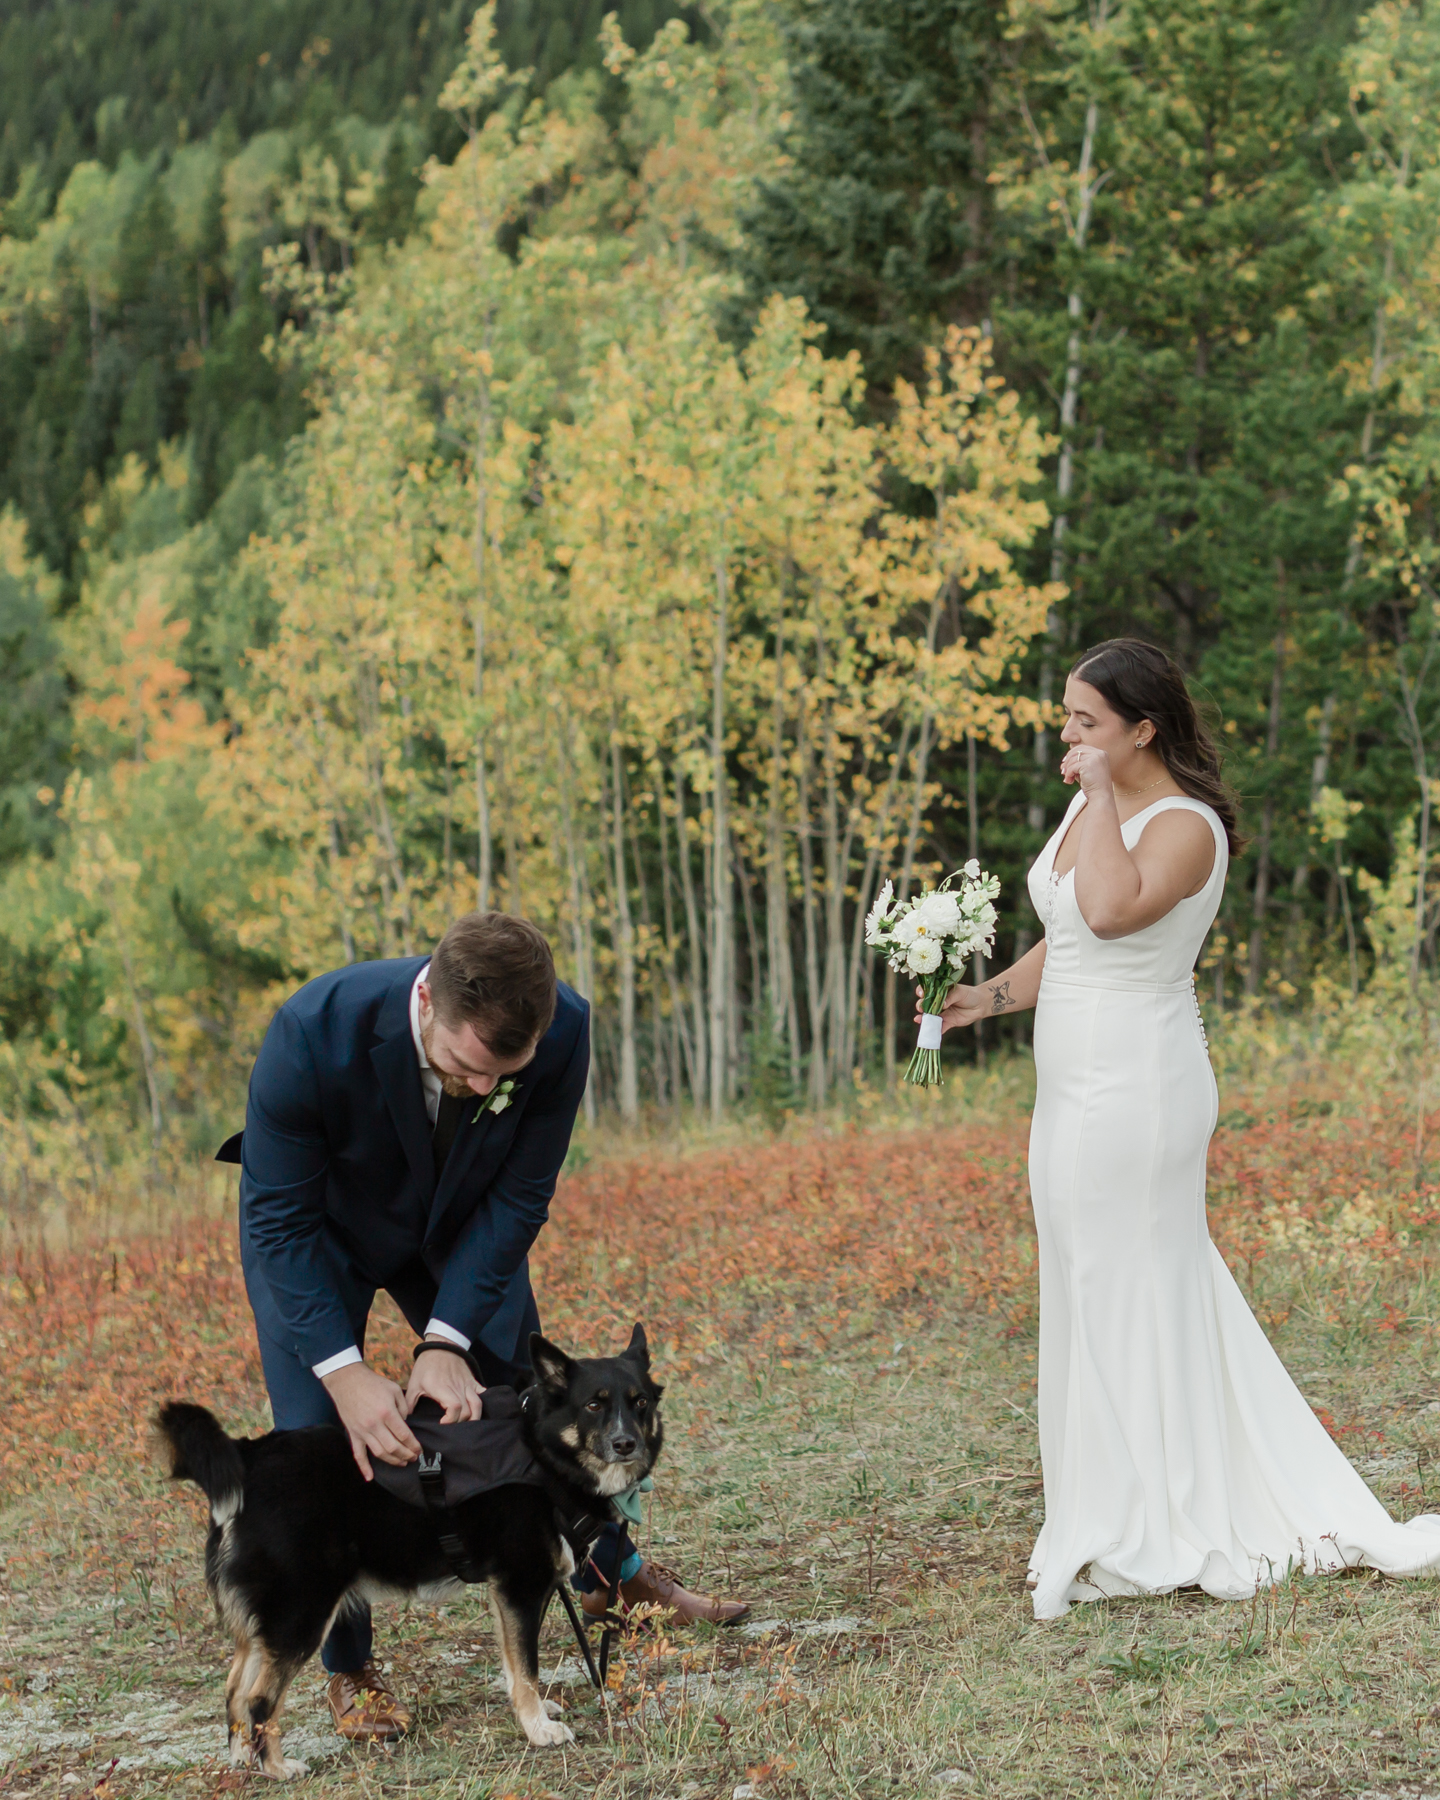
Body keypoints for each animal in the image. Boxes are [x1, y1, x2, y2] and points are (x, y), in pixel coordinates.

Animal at [154, 1332, 662, 1778]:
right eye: (594, 1404)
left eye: (640, 1402)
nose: (626, 1444)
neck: (541, 1450)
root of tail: (248, 1457)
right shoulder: (520, 1586)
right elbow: (526, 1666)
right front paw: (539, 1729)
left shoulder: (513, 1592)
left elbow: (515, 1664)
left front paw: (534, 1710)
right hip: (301, 1614)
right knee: (259, 1700)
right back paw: (276, 1768)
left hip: (267, 1623)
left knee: (234, 1691)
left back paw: (243, 1760)